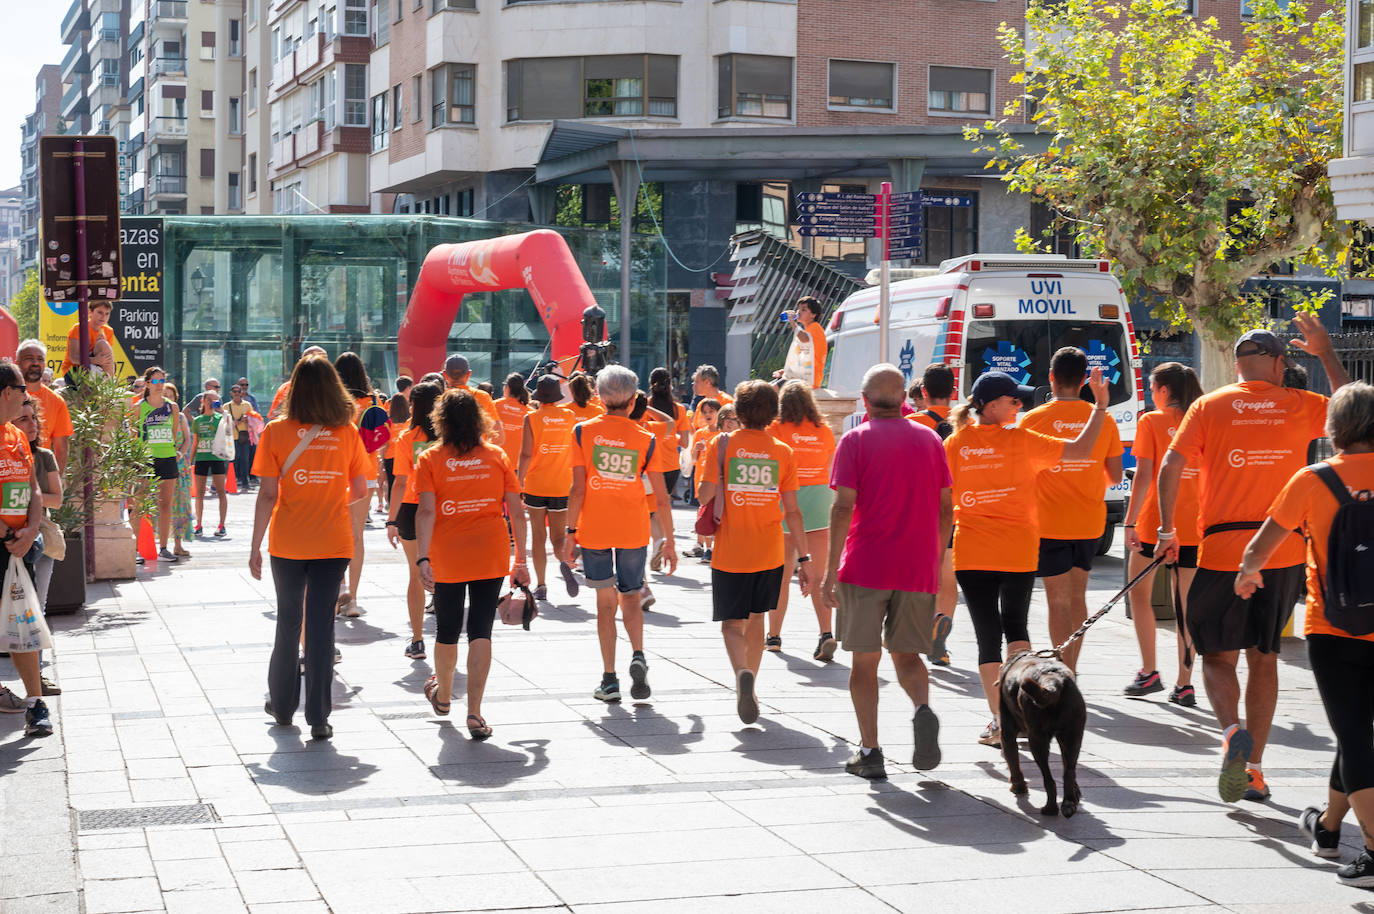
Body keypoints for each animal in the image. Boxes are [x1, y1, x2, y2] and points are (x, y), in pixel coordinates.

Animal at [1000, 648, 1082, 813]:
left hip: (1037, 739)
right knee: (1069, 772)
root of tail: (1052, 681)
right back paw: (1069, 803)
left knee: (1048, 779)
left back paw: (1050, 809)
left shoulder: (1007, 731)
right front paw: (1077, 794)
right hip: (1073, 735)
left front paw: (1018, 786)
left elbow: (1012, 759)